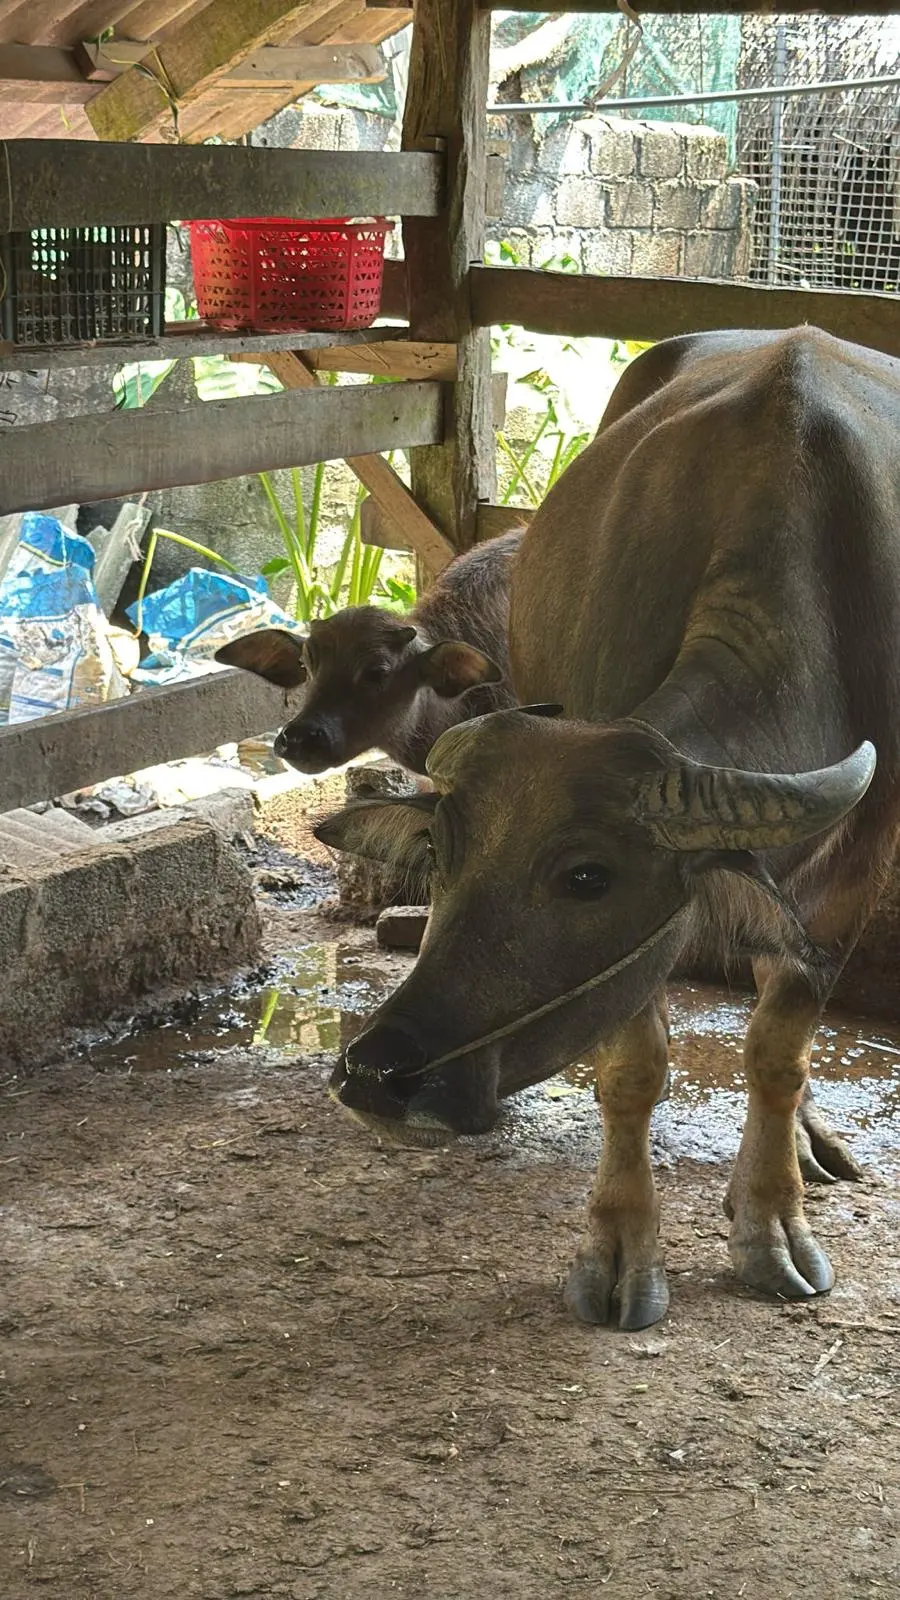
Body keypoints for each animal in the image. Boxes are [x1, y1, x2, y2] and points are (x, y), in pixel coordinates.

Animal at [315, 327, 900, 1330]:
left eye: (586, 876)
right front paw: (623, 1248)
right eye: (440, 856)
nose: (376, 1074)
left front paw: (771, 1220)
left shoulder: (851, 882)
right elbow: (633, 1073)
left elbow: (777, 1053)